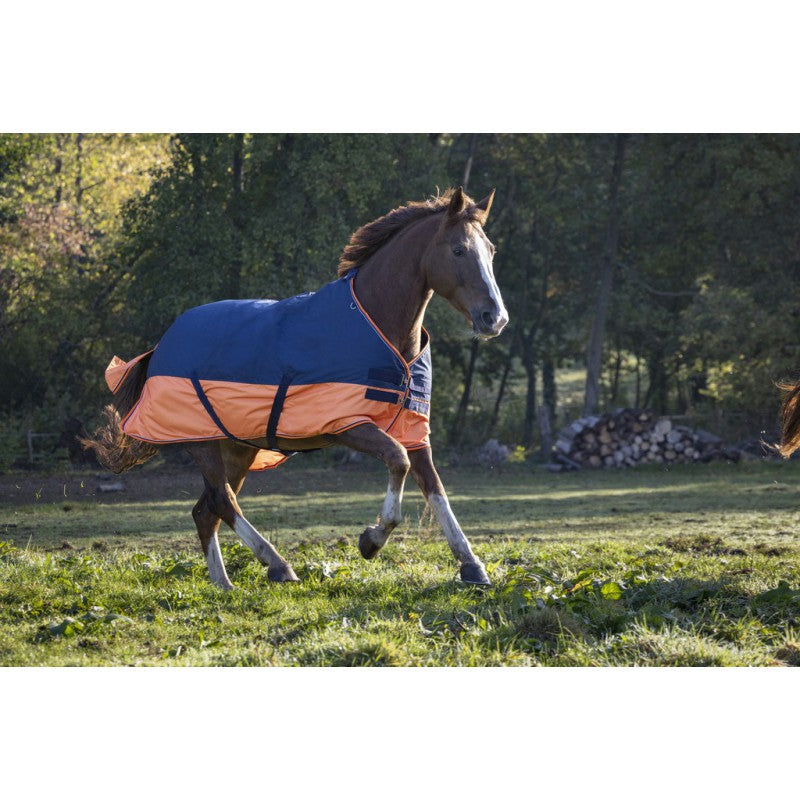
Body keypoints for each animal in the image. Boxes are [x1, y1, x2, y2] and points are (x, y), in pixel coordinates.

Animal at [83, 187, 508, 589]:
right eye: (458, 249)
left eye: (490, 250)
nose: (495, 317)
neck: (378, 325)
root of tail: (161, 346)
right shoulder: (349, 425)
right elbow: (398, 461)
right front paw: (371, 540)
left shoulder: (414, 429)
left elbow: (435, 488)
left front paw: (472, 567)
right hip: (203, 444)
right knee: (223, 502)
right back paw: (277, 565)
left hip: (237, 448)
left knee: (206, 511)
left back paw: (224, 584)